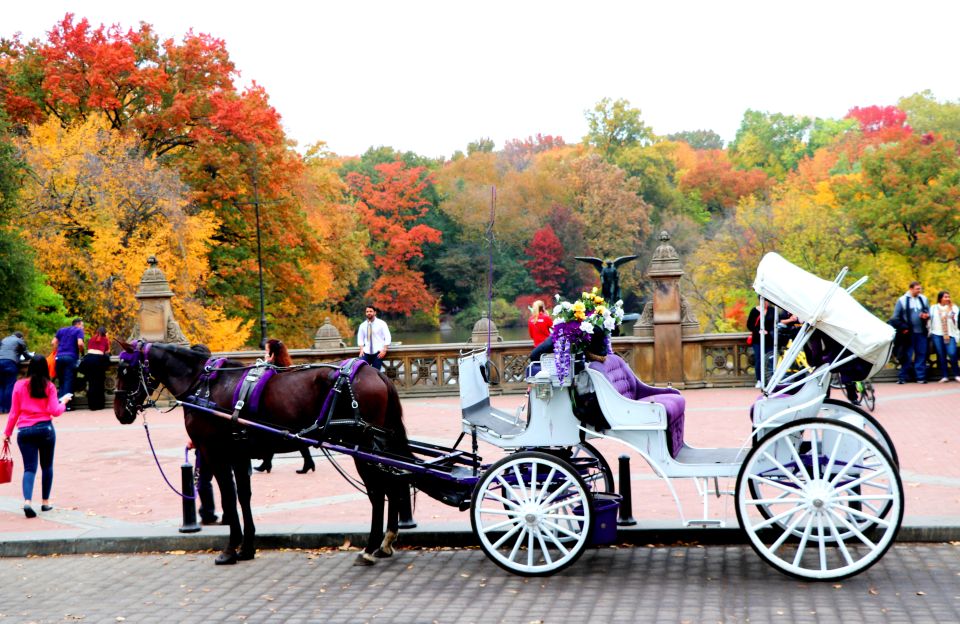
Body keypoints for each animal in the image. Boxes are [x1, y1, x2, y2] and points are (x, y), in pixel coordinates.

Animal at [112, 342, 412, 564]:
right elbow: (244, 497)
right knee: (394, 484)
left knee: (378, 492)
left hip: (362, 448)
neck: (203, 384)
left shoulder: (215, 453)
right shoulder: (239, 454)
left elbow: (228, 498)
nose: (119, 412)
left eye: (125, 369)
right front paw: (247, 547)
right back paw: (386, 541)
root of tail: (375, 372)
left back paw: (371, 548)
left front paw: (230, 549)